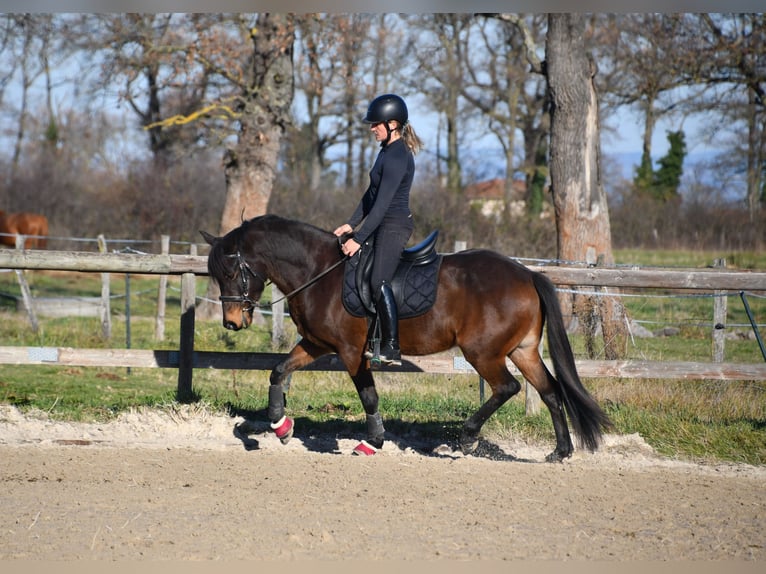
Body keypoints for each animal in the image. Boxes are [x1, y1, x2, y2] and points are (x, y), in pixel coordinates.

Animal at [201, 214, 613, 461]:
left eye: (232, 272)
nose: (232, 323)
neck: (320, 271)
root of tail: (527, 274)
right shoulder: (317, 344)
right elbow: (279, 370)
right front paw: (280, 426)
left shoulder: (351, 351)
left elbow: (368, 396)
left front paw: (372, 442)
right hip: (523, 350)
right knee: (549, 391)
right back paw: (561, 451)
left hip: (483, 352)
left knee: (506, 388)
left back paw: (466, 437)